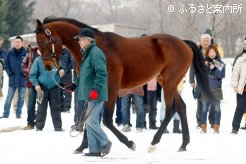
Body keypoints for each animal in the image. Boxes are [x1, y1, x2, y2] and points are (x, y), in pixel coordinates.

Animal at [34, 17, 213, 152]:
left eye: (45, 41)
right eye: (37, 42)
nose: (47, 66)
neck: (97, 47)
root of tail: (183, 43)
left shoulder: (110, 89)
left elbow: (106, 120)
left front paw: (129, 143)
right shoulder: (92, 88)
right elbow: (88, 116)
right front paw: (82, 146)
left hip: (169, 82)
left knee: (170, 110)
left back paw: (154, 143)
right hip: (168, 82)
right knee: (181, 107)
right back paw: (183, 144)